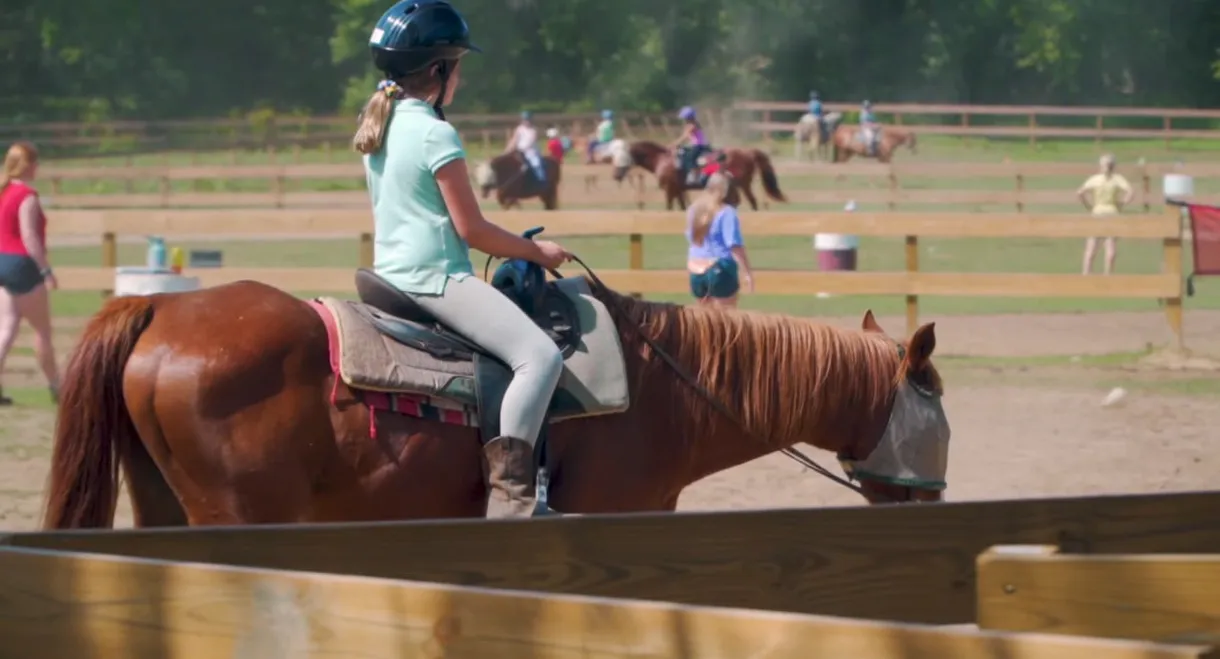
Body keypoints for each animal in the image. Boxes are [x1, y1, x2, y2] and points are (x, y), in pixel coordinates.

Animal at [626, 140, 787, 211]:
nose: (621, 174)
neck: (661, 159)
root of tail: (747, 152)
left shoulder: (669, 189)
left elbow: (669, 207)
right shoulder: (679, 190)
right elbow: (682, 207)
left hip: (742, 184)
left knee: (750, 201)